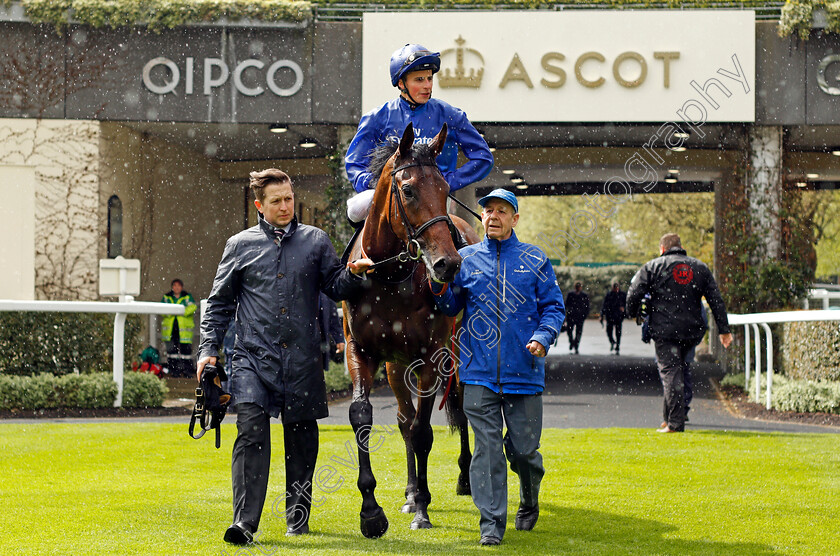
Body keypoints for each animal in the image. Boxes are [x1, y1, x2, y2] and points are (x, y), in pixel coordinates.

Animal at [342, 124, 480, 536]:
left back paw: (463, 479)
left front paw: (422, 507)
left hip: (457, 354)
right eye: (408, 190)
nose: (447, 264)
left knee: (460, 410)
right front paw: (372, 511)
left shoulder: (430, 358)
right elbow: (364, 417)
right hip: (396, 365)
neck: (390, 278)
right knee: (404, 421)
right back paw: (408, 491)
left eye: (445, 187)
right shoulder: (361, 351)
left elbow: (423, 431)